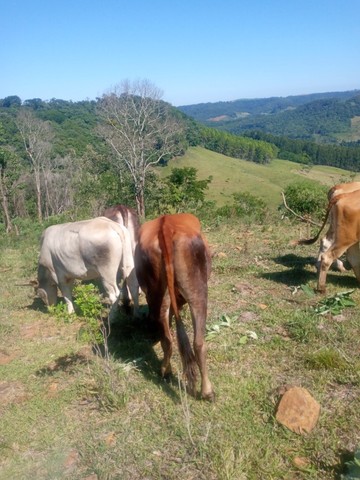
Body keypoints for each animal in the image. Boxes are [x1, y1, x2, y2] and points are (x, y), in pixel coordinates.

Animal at [134, 214, 214, 402]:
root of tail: (166, 224)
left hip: (161, 295)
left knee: (169, 338)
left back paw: (166, 371)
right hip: (199, 290)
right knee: (197, 342)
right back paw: (207, 390)